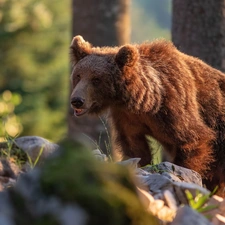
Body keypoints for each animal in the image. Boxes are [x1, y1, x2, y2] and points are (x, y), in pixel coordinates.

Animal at [69, 35, 225, 197]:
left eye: (96, 79)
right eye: (78, 75)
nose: (77, 101)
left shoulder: (175, 107)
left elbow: (192, 140)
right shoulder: (127, 118)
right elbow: (135, 147)